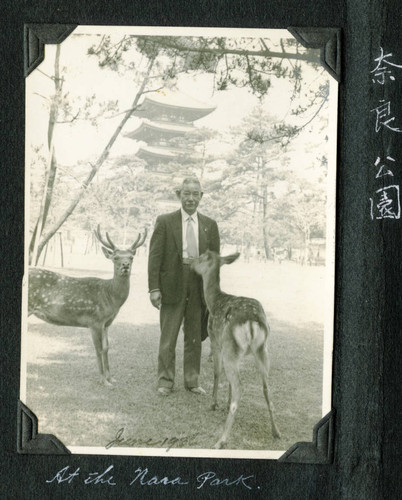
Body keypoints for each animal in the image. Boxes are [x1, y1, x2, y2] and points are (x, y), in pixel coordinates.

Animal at [28, 227, 148, 386]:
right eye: (116, 257)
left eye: (131, 257)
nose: (125, 265)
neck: (111, 298)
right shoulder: (94, 320)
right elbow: (98, 349)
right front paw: (103, 380)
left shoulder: (106, 323)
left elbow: (106, 348)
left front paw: (111, 378)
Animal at [191, 250, 280, 450]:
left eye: (201, 257)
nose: (190, 263)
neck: (213, 301)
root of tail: (252, 321)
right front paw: (224, 403)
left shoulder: (216, 341)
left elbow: (217, 373)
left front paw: (214, 404)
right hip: (262, 350)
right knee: (267, 387)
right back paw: (276, 431)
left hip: (231, 347)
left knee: (240, 386)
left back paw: (221, 440)